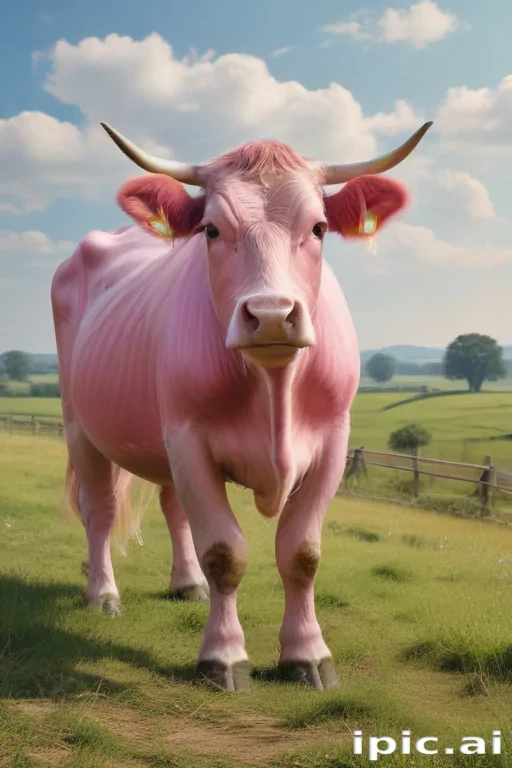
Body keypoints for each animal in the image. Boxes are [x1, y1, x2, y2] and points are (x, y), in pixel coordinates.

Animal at [51, 120, 432, 691]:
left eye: (319, 227)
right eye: (211, 230)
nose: (271, 314)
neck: (274, 388)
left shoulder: (332, 442)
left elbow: (302, 552)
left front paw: (307, 654)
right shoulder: (189, 438)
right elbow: (225, 552)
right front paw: (224, 656)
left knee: (173, 508)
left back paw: (187, 585)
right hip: (81, 425)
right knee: (100, 511)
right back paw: (103, 595)